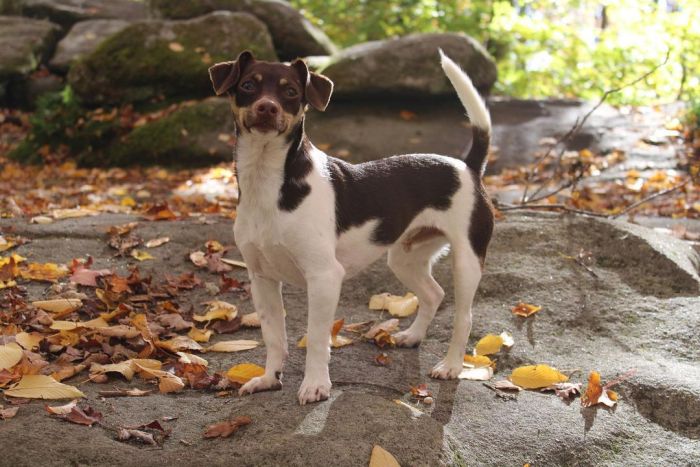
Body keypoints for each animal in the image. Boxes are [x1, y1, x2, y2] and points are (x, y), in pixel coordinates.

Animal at [206, 49, 492, 404]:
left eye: (291, 92)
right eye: (247, 85)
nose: (267, 107)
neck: (268, 181)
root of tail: (468, 167)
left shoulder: (324, 278)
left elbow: (316, 338)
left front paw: (316, 385)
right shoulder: (262, 279)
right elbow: (274, 336)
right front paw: (269, 379)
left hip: (466, 262)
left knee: (464, 318)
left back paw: (451, 366)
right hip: (405, 258)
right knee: (433, 294)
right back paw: (412, 336)